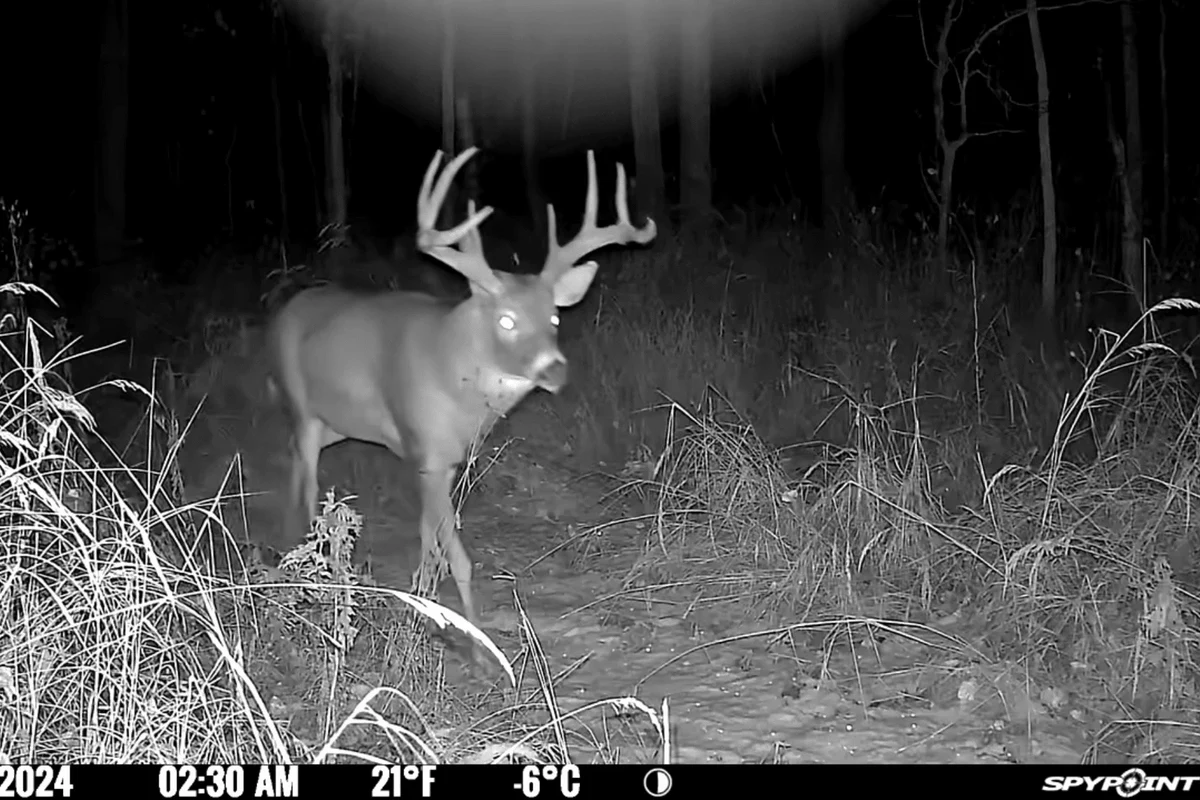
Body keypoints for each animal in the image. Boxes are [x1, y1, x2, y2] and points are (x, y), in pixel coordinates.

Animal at [265, 147, 656, 657]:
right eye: (507, 320)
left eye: (553, 316)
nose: (555, 369)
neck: (454, 374)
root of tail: (283, 312)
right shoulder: (427, 452)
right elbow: (457, 556)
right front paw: (476, 640)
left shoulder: (447, 461)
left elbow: (430, 543)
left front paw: (423, 605)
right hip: (303, 406)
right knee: (310, 479)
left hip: (335, 425)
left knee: (294, 461)